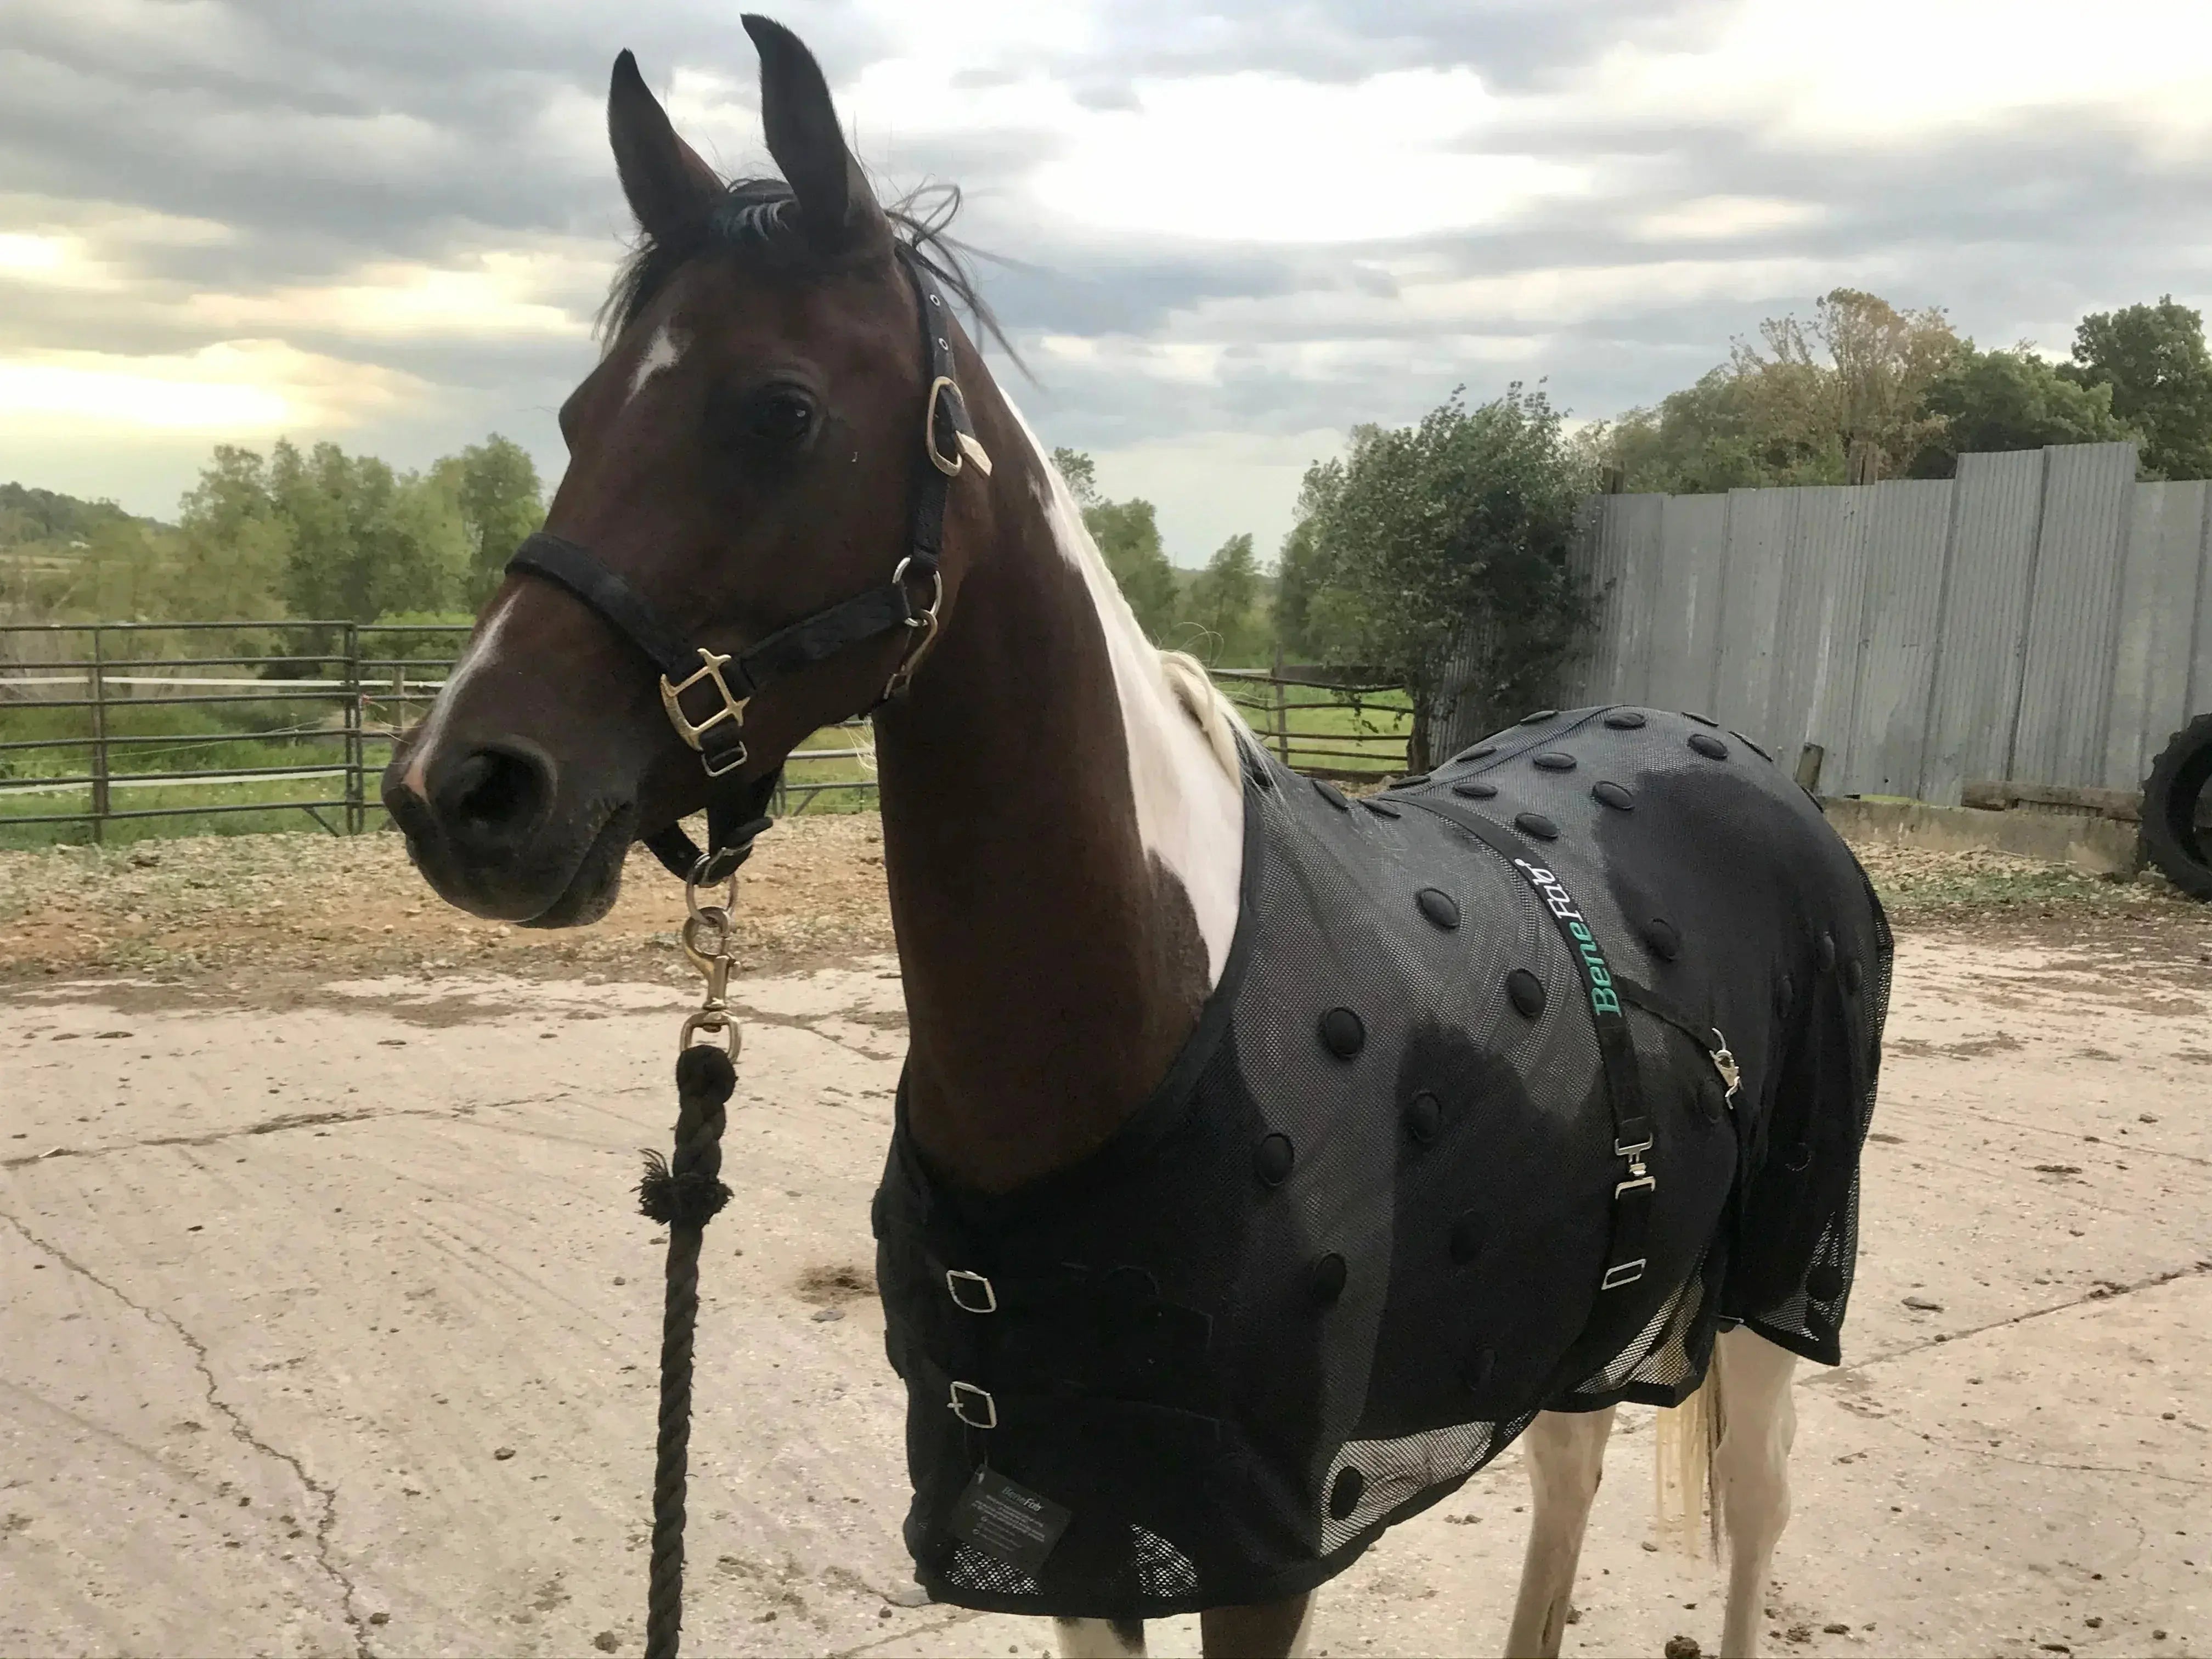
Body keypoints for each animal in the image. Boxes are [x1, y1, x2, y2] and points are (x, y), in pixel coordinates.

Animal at [381, 19, 1890, 1657]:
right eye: (580, 415)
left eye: (779, 409)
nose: (461, 789)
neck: (1150, 996)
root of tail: (1741, 759)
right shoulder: (1069, 1519)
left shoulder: (1261, 1541)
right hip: (1583, 1301)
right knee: (1573, 1467)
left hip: (1773, 1288)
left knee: (1755, 1517)